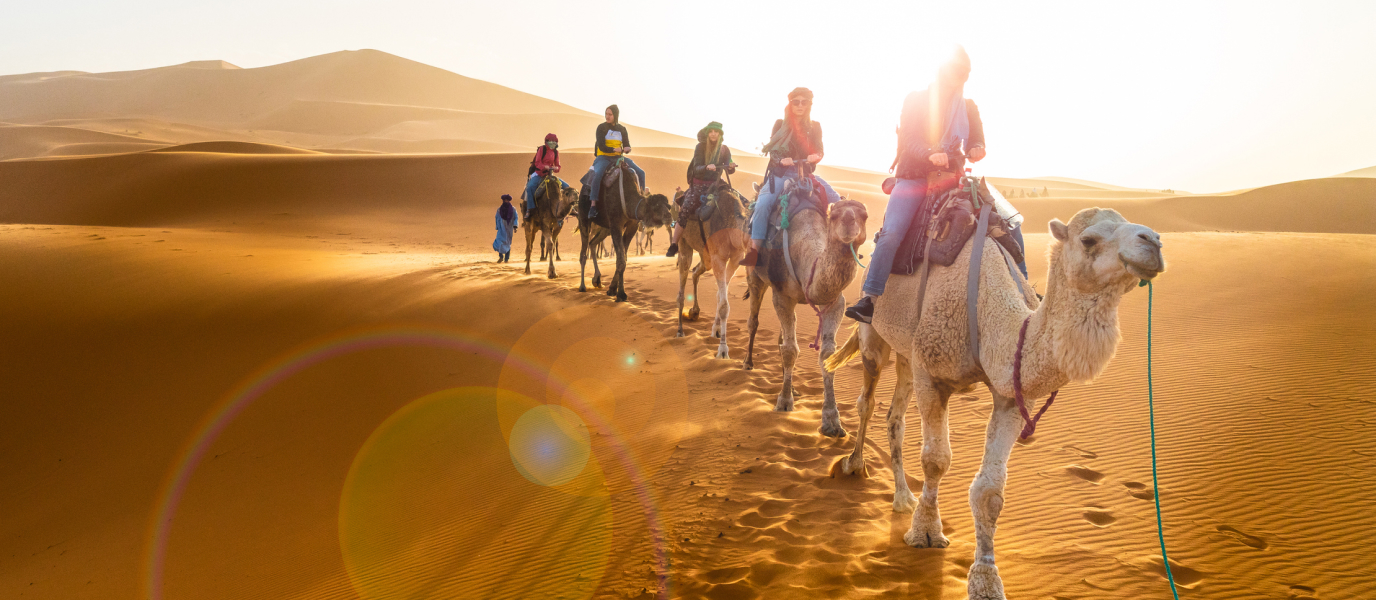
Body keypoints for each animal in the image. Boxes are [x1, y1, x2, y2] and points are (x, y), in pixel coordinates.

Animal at [671, 183, 748, 360]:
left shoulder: (735, 258)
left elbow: (720, 296)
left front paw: (716, 330)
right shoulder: (719, 257)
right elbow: (724, 305)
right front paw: (723, 350)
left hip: (705, 255)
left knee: (695, 272)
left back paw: (694, 312)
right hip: (684, 243)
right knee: (681, 288)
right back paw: (680, 330)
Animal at [743, 177, 869, 434]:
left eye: (865, 215)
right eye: (834, 214)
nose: (849, 220)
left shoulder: (835, 301)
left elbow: (827, 354)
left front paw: (832, 420)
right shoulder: (782, 296)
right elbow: (791, 350)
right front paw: (784, 402)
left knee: (781, 337)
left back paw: (792, 386)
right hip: (755, 276)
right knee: (754, 320)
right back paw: (748, 363)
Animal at [820, 205, 1166, 594]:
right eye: (1088, 239)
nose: (1153, 242)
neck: (988, 309)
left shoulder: (1010, 395)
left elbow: (991, 491)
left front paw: (985, 579)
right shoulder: (932, 375)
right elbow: (936, 461)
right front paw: (926, 532)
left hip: (907, 353)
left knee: (895, 417)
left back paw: (902, 497)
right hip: (874, 334)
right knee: (866, 400)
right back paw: (854, 464)